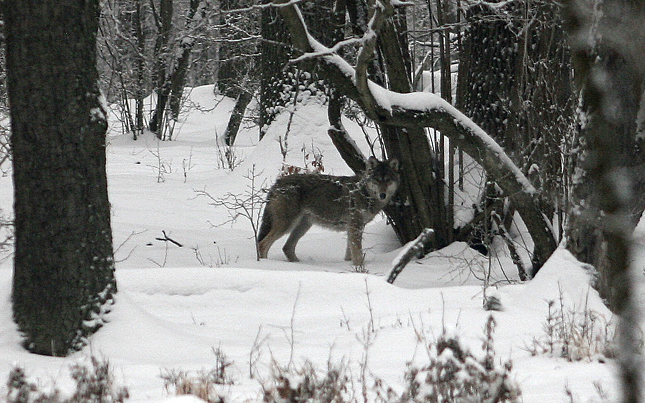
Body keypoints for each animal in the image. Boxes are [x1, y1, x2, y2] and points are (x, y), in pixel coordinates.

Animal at [255, 156, 398, 266]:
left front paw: (350, 266)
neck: (364, 192)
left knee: (287, 248)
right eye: (377, 180)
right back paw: (265, 264)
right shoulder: (355, 226)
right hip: (286, 225)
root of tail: (277, 183)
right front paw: (360, 269)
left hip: (303, 226)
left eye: (388, 180)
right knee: (262, 244)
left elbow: (350, 252)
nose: (383, 195)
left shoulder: (354, 227)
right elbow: (357, 253)